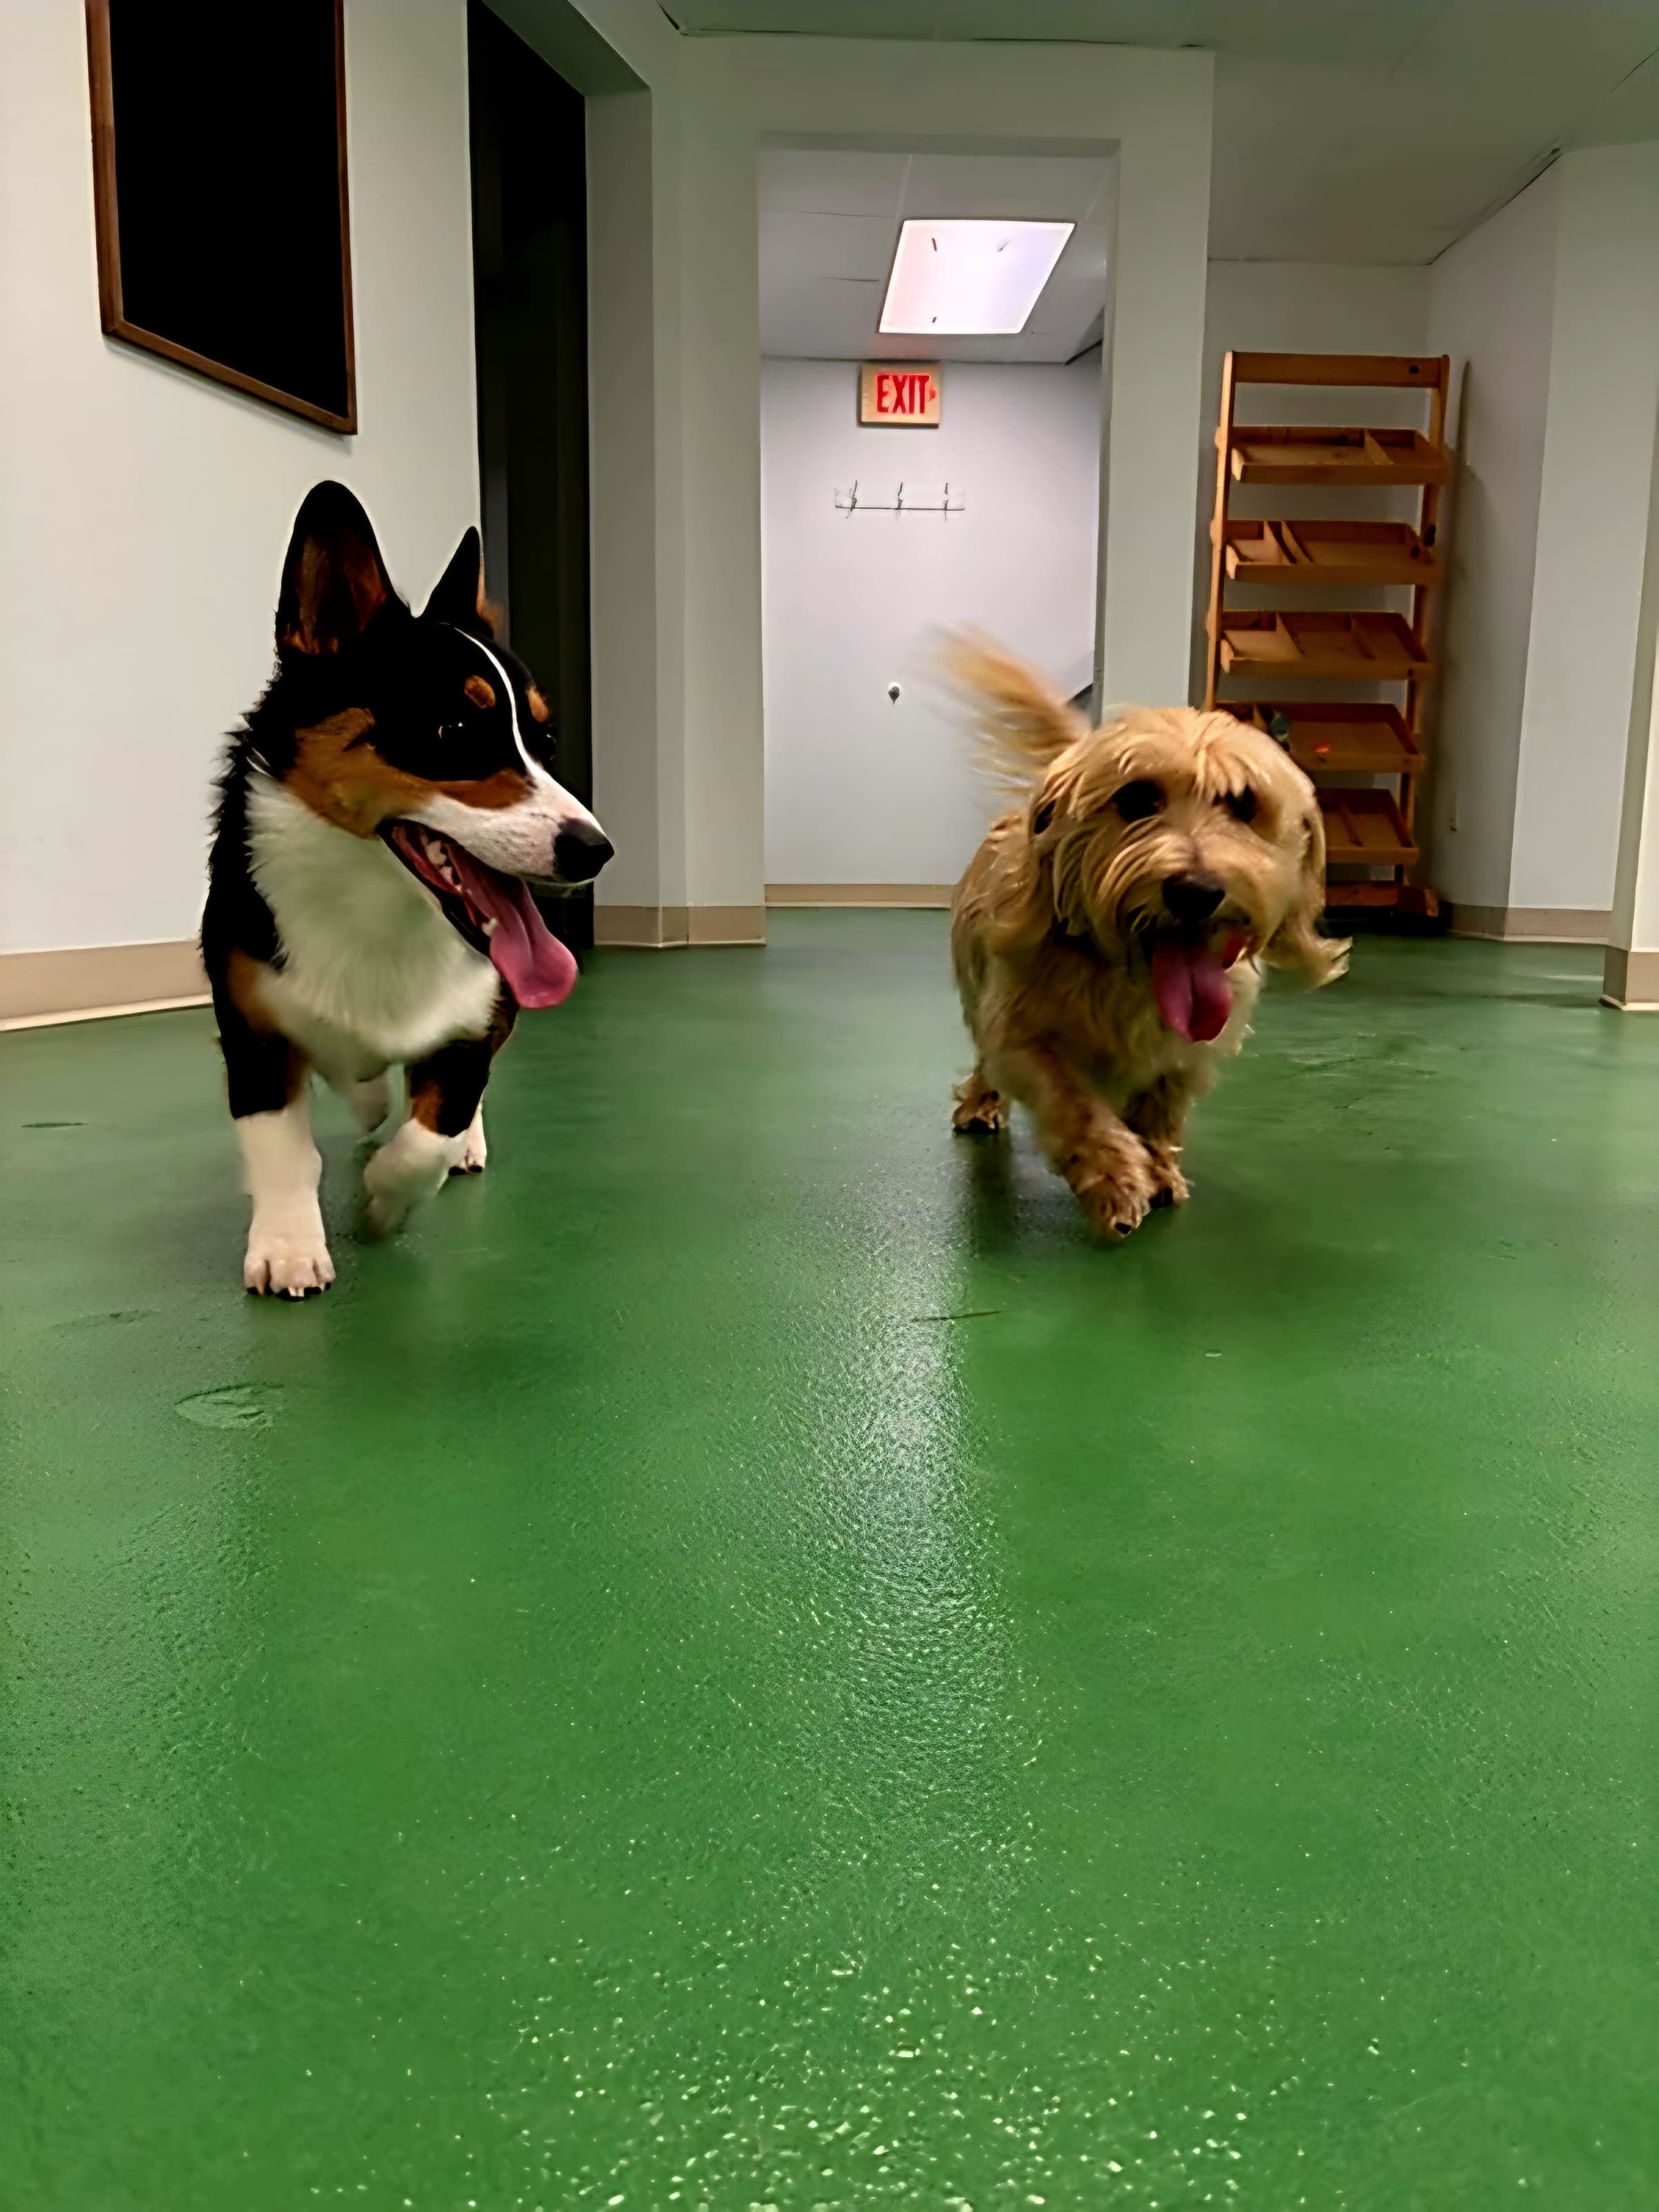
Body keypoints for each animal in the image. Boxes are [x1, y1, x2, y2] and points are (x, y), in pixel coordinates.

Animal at [202, 481, 612, 1296]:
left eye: (545, 742)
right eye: (453, 729)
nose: (597, 850)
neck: (376, 906)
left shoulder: (475, 1020)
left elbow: (434, 1132)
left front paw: (383, 1204)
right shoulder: (253, 1032)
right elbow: (280, 1148)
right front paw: (289, 1247)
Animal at [947, 637, 1345, 1238]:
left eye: (1243, 804)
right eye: (1135, 799)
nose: (1196, 891)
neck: (1128, 975)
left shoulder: (1190, 1053)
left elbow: (1161, 1107)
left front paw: (1156, 1168)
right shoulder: (1022, 1036)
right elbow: (1074, 1103)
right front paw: (1114, 1177)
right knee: (983, 1059)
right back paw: (979, 1103)